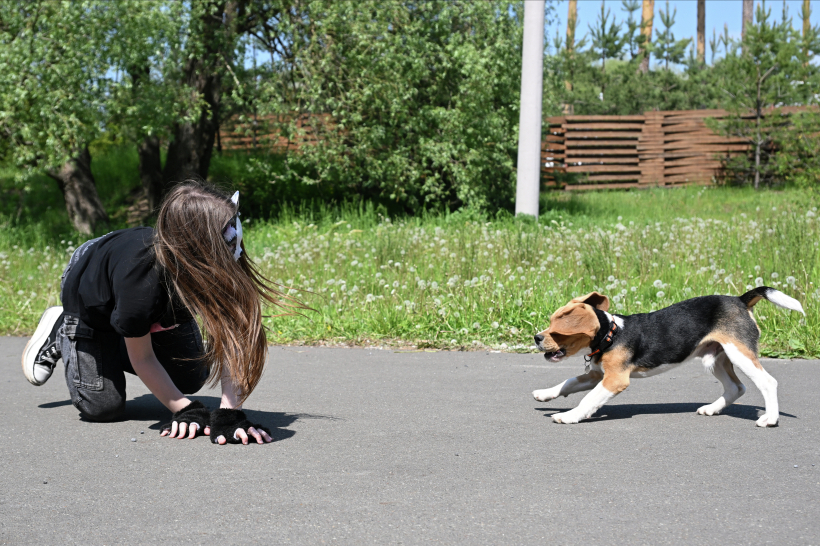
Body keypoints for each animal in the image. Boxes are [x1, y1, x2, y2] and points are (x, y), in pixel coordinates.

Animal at [536, 284, 804, 424]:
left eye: (557, 331)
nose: (537, 338)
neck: (611, 334)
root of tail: (740, 300)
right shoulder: (596, 375)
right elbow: (568, 383)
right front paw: (544, 394)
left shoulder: (614, 380)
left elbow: (588, 399)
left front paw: (569, 415)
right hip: (714, 358)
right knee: (736, 387)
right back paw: (712, 409)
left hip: (739, 353)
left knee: (767, 382)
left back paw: (770, 419)